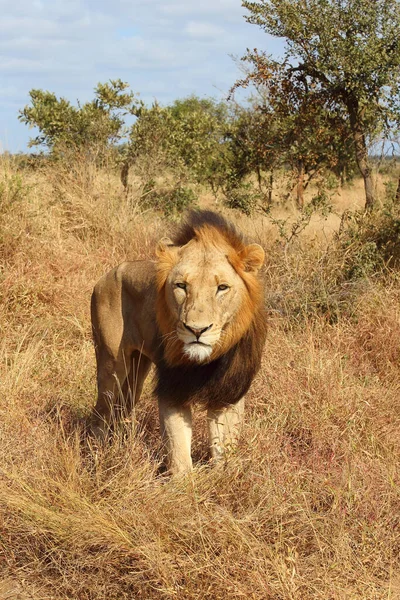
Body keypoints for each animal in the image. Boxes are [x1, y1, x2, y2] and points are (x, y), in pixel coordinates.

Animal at [89, 210, 268, 474]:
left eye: (222, 288)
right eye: (181, 285)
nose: (197, 329)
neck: (208, 362)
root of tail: (107, 274)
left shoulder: (228, 392)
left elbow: (224, 448)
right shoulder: (172, 388)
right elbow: (179, 452)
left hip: (137, 369)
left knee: (123, 405)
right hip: (111, 362)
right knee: (102, 409)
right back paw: (98, 454)